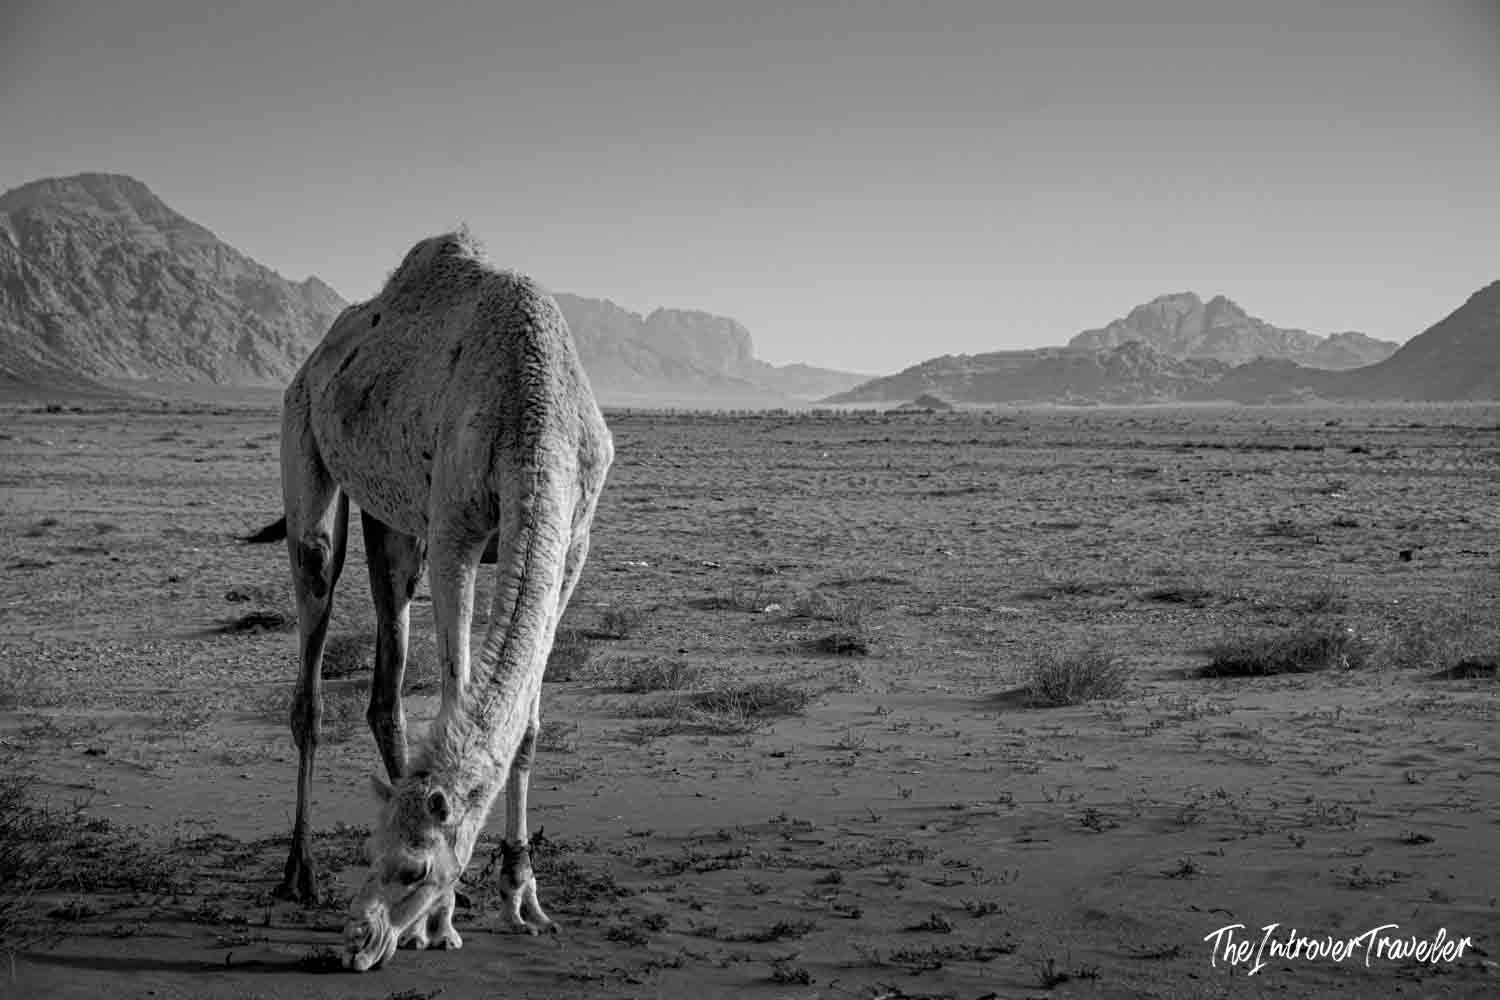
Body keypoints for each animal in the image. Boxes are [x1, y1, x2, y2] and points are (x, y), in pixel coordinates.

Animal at [272, 229, 612, 972]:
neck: (531, 415)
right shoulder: (456, 527)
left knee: (385, 686)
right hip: (303, 443)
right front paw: (442, 923)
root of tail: (316, 359)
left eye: (412, 869)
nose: (358, 942)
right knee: (313, 645)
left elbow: (528, 727)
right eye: (372, 853)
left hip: (393, 523)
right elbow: (457, 690)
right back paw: (298, 873)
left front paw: (522, 897)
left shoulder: (572, 541)